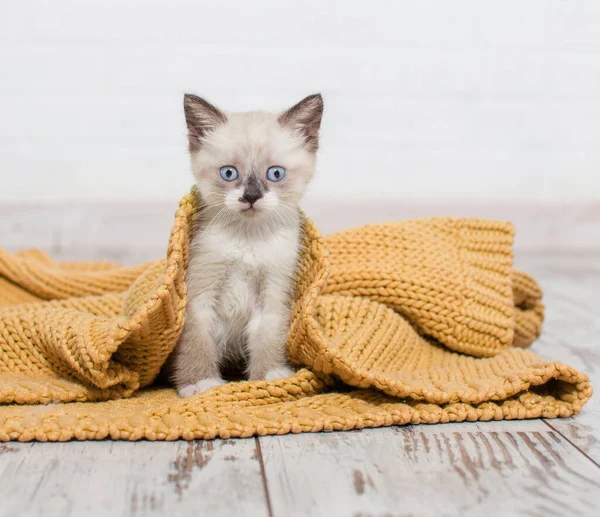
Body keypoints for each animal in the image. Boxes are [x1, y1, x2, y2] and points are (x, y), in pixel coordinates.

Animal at [171, 92, 326, 396]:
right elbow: (197, 340)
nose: (251, 196)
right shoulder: (199, 292)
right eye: (229, 173)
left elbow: (267, 338)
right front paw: (199, 383)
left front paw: (269, 377)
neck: (248, 239)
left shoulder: (273, 293)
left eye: (275, 174)